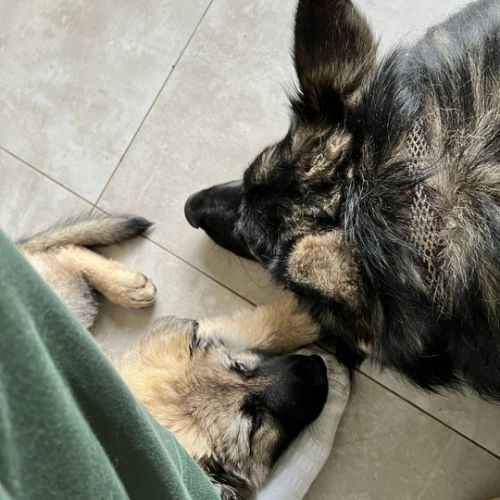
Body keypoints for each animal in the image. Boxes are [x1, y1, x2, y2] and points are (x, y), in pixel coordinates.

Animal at [17, 214, 328, 499]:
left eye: (240, 367)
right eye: (255, 422)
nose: (318, 365)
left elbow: (253, 328)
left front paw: (300, 317)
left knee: (62, 251)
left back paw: (127, 285)